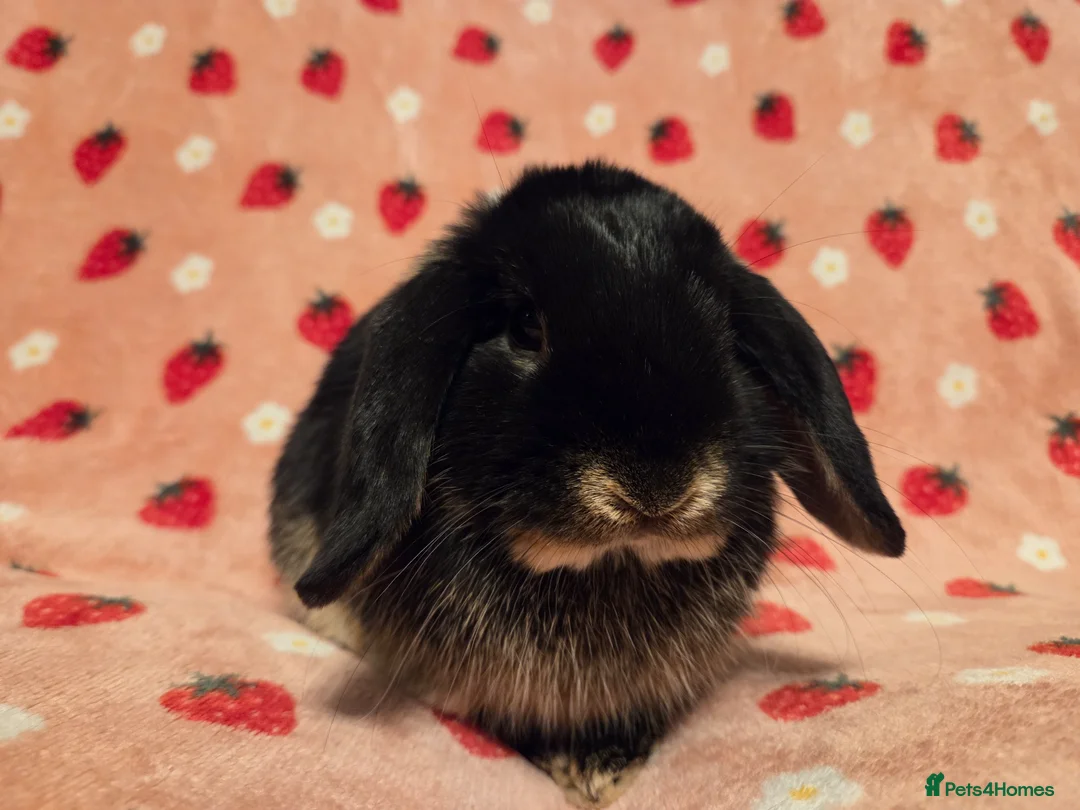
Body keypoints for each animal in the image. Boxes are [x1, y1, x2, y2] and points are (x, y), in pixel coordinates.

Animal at [269, 160, 905, 808]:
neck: (608, 565)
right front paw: (582, 770)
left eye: (727, 332)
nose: (656, 487)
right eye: (525, 327)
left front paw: (608, 766)